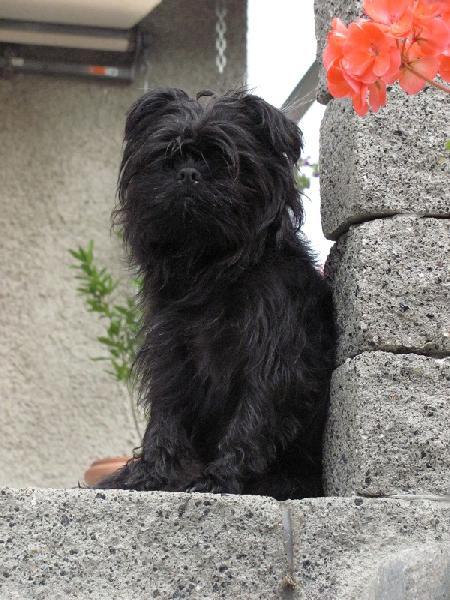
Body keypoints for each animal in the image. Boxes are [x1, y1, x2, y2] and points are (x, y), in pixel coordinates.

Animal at [97, 88, 335, 500]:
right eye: (167, 156)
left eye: (225, 161)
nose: (188, 174)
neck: (209, 267)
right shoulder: (171, 355)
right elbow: (166, 415)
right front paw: (150, 474)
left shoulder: (273, 358)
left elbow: (251, 419)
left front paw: (220, 478)